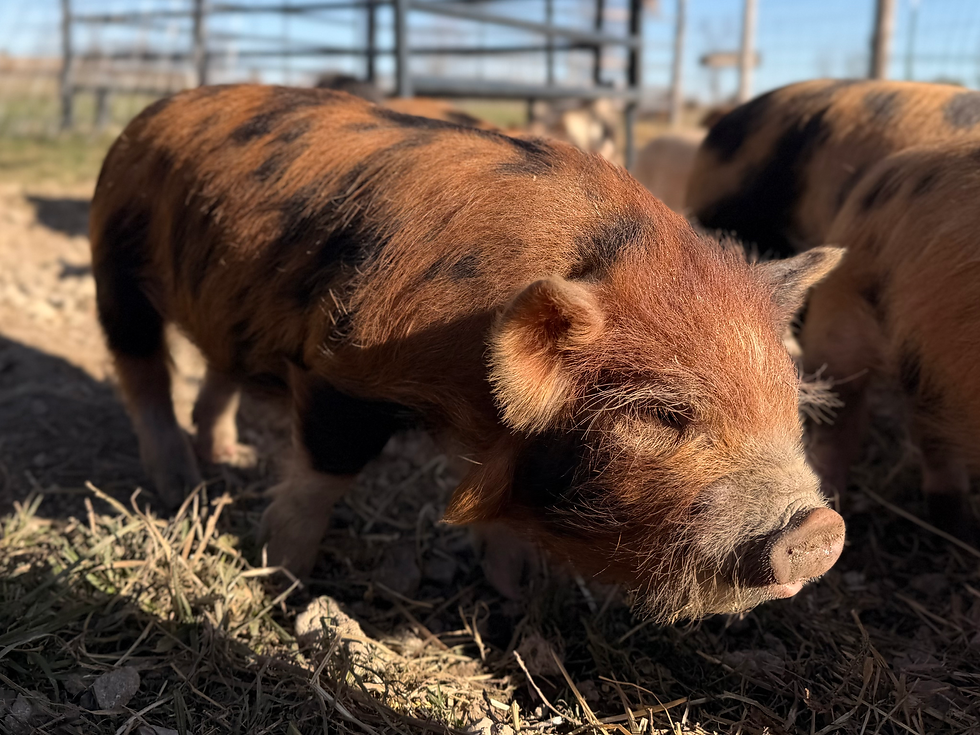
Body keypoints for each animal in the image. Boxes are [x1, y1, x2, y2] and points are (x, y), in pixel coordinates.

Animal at [90, 84, 845, 622]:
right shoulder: (345, 369)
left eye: (790, 399)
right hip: (115, 261)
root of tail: (159, 107)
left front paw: (519, 591)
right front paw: (281, 577)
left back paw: (224, 457)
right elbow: (323, 475)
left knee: (216, 370)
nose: (821, 529)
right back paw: (180, 485)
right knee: (141, 369)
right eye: (664, 416)